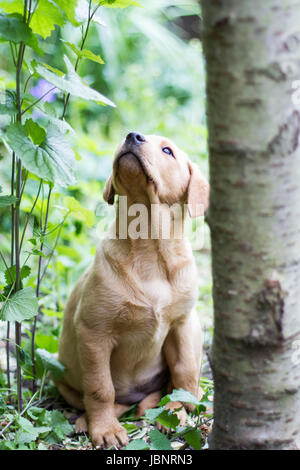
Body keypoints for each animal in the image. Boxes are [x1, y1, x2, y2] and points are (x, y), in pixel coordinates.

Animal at [57, 132, 210, 448]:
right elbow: (100, 388)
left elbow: (184, 372)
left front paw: (180, 410)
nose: (132, 135)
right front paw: (104, 429)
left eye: (167, 150)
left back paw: (173, 408)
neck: (149, 247)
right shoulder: (94, 332)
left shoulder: (182, 324)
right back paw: (89, 420)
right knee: (112, 400)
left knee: (174, 385)